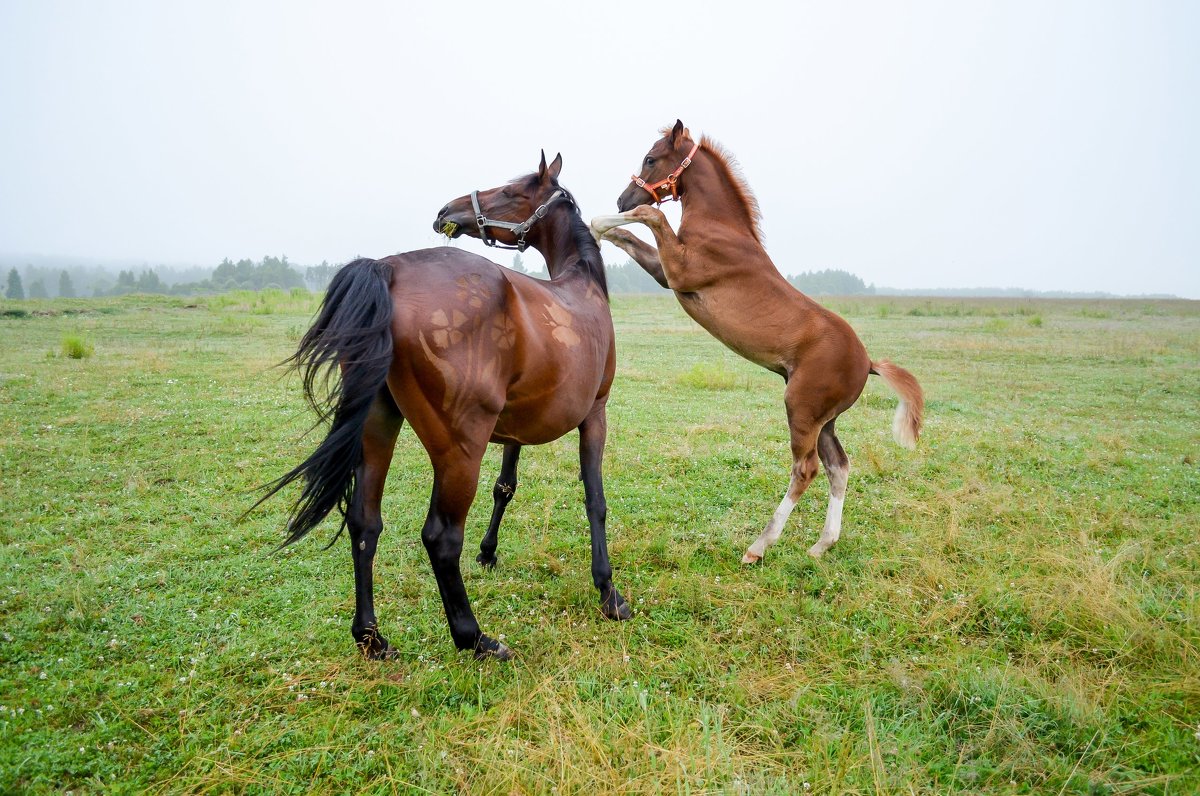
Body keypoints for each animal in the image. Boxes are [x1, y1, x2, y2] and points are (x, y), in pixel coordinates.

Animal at [259, 153, 633, 657]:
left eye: (511, 192)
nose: (446, 211)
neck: (581, 287)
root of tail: (390, 269)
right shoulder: (596, 415)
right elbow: (596, 500)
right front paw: (608, 591)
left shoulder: (516, 428)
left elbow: (505, 486)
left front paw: (489, 552)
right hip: (460, 451)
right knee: (440, 537)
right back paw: (474, 637)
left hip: (377, 428)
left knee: (364, 523)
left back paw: (371, 637)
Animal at [588, 121, 916, 564]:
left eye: (651, 158)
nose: (623, 196)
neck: (721, 229)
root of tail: (868, 363)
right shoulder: (665, 273)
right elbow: (630, 233)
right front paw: (599, 227)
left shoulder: (680, 270)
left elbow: (650, 214)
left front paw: (599, 220)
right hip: (824, 419)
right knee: (839, 466)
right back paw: (822, 544)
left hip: (801, 409)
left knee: (806, 469)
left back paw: (758, 547)